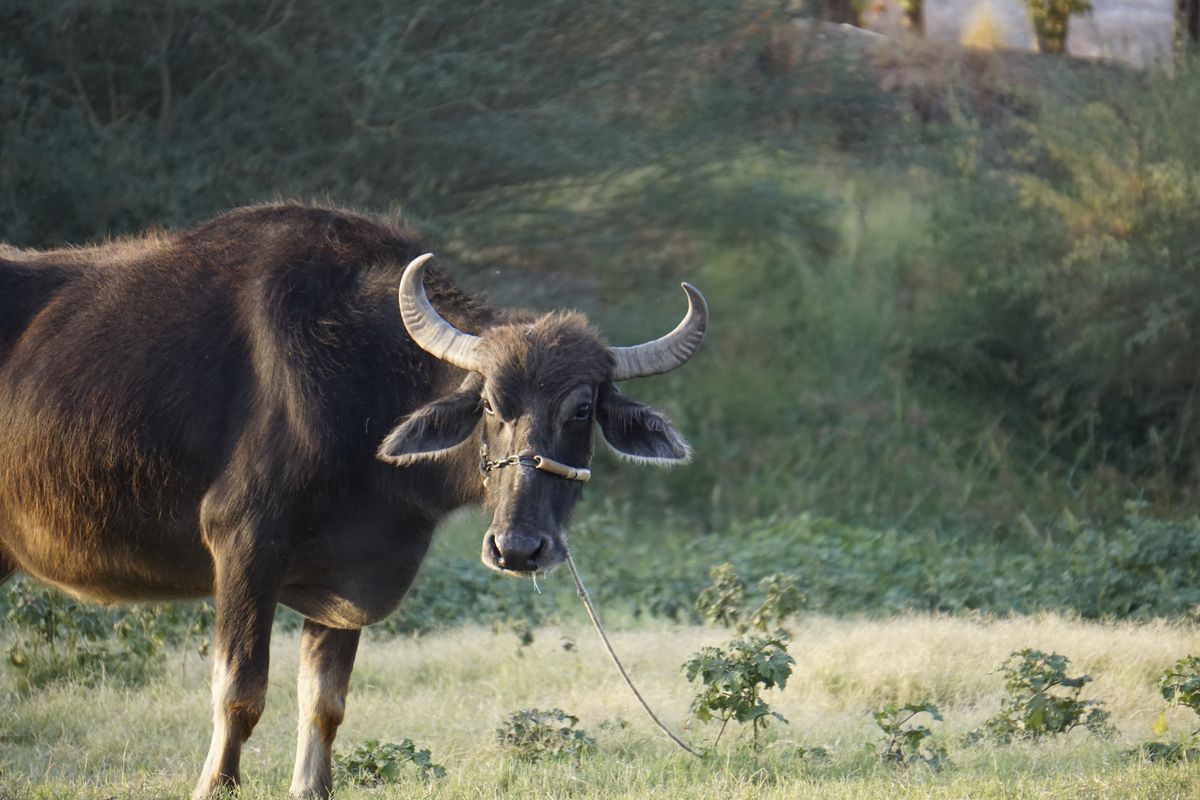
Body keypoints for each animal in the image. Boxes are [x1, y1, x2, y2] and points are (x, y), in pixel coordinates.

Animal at [0, 203, 705, 796]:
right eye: (487, 402)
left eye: (582, 408)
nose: (518, 548)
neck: (363, 383)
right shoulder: (244, 547)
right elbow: (239, 694)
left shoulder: (350, 574)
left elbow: (325, 704)